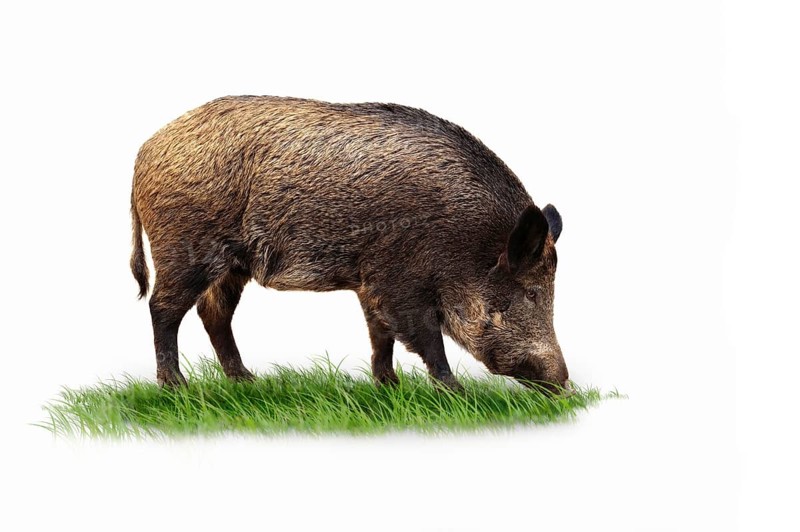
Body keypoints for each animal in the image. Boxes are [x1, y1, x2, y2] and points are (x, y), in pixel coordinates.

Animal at [130, 96, 567, 392]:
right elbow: (424, 336)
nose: (564, 384)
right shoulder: (399, 279)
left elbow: (381, 333)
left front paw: (389, 388)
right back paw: (176, 387)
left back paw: (247, 381)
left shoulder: (371, 282)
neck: (466, 241)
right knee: (162, 308)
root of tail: (144, 152)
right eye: (531, 292)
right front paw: (457, 395)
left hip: (233, 265)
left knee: (213, 314)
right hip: (186, 248)